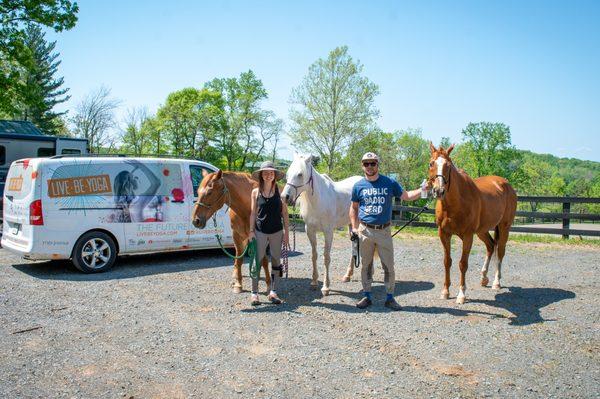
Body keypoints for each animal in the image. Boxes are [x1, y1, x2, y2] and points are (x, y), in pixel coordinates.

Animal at [282, 155, 360, 296]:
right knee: (354, 246)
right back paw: (347, 275)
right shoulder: (310, 231)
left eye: (300, 174)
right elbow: (314, 256)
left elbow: (326, 257)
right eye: (288, 173)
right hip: (351, 225)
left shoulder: (328, 232)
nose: (285, 197)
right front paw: (313, 282)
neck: (318, 200)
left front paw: (326, 287)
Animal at [428, 144, 516, 304]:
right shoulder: (444, 234)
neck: (456, 203)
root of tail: (505, 184)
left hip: (504, 227)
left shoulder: (468, 236)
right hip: (482, 231)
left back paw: (496, 282)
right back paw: (484, 278)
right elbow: (447, 261)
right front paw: (445, 291)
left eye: (448, 165)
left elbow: (463, 264)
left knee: (500, 251)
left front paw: (461, 294)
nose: (439, 191)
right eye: (431, 163)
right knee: (490, 246)